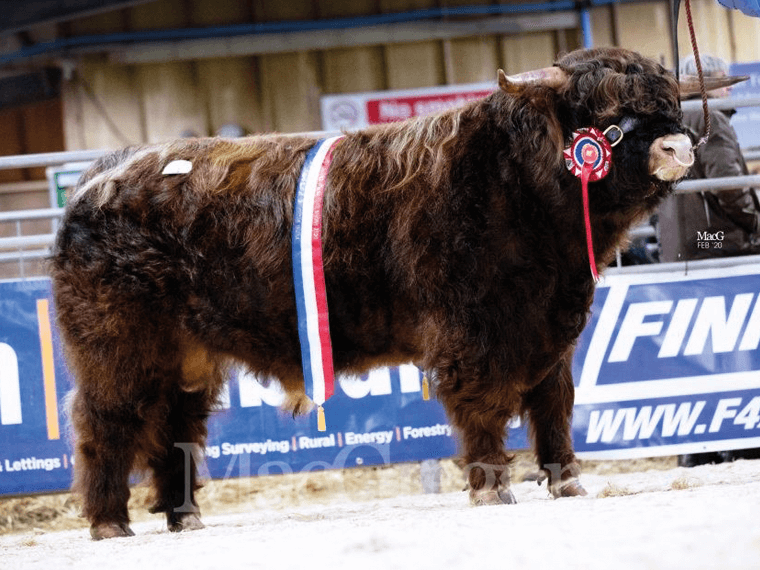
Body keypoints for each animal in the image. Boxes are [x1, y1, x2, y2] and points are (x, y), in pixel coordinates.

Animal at [50, 45, 740, 536]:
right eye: (606, 114)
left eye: (668, 99)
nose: (678, 145)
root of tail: (103, 174)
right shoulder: (470, 331)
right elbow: (485, 405)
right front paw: (492, 486)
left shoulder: (552, 332)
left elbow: (554, 406)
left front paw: (566, 480)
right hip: (116, 347)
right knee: (103, 421)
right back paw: (109, 522)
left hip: (186, 358)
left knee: (175, 425)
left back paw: (184, 515)